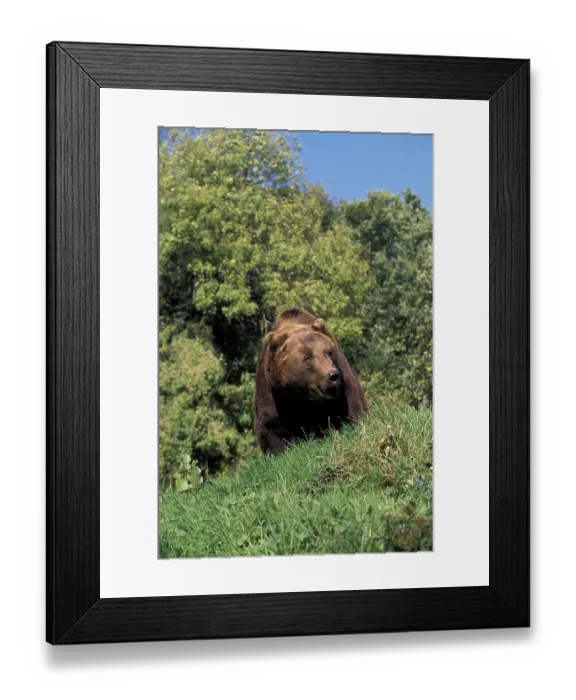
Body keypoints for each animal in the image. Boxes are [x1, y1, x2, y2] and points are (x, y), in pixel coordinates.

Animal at [254, 308, 369, 454]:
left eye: (329, 352)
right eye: (307, 357)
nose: (333, 376)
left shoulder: (343, 373)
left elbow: (354, 402)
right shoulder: (271, 392)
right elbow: (269, 427)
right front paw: (281, 450)